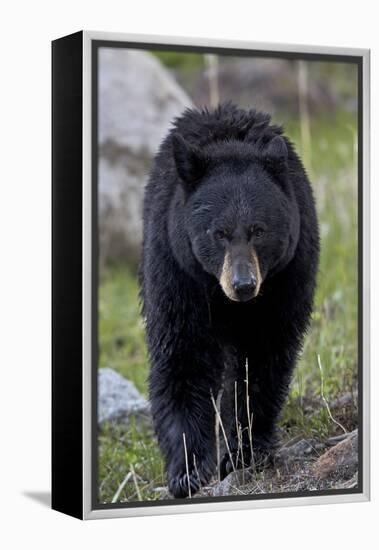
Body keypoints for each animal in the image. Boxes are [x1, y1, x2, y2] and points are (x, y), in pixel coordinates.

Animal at [141, 102, 320, 500]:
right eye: (218, 233)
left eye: (259, 231)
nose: (243, 284)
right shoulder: (176, 270)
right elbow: (183, 353)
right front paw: (188, 470)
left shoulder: (285, 277)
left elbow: (262, 359)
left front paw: (244, 452)